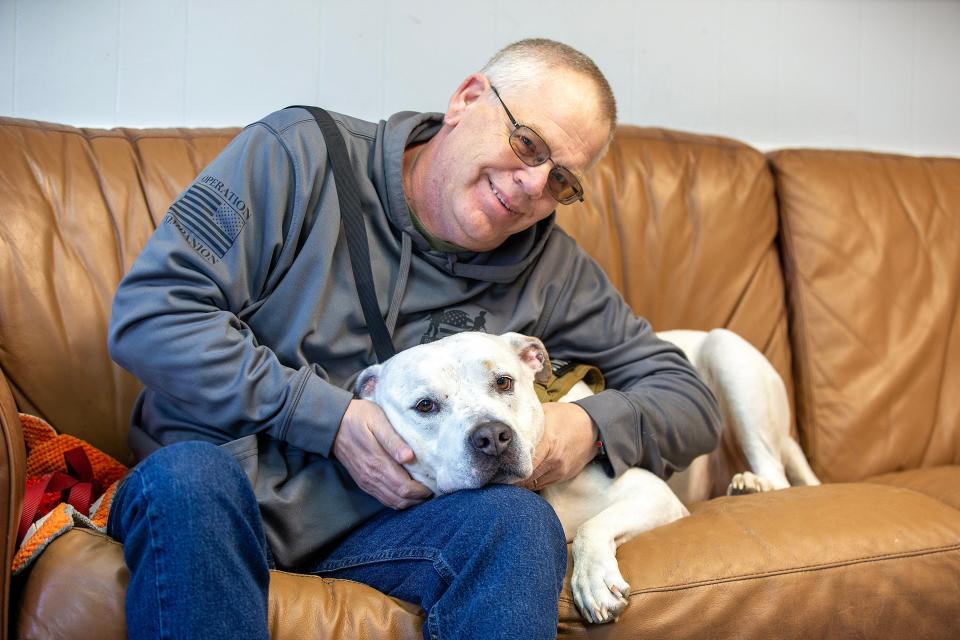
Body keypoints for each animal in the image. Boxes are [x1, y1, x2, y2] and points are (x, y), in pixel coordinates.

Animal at [356, 330, 820, 624]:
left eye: (504, 383)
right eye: (425, 406)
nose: (492, 437)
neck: (541, 490)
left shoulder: (653, 495)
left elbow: (591, 528)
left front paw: (593, 580)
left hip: (728, 357)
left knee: (774, 471)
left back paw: (751, 485)